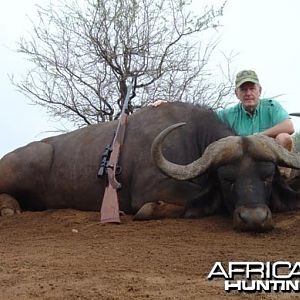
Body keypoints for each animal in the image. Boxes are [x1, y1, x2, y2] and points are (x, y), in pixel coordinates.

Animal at [0, 102, 300, 231]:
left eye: (268, 176)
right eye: (228, 179)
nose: (254, 219)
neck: (192, 137)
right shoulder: (151, 188)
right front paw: (151, 210)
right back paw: (9, 208)